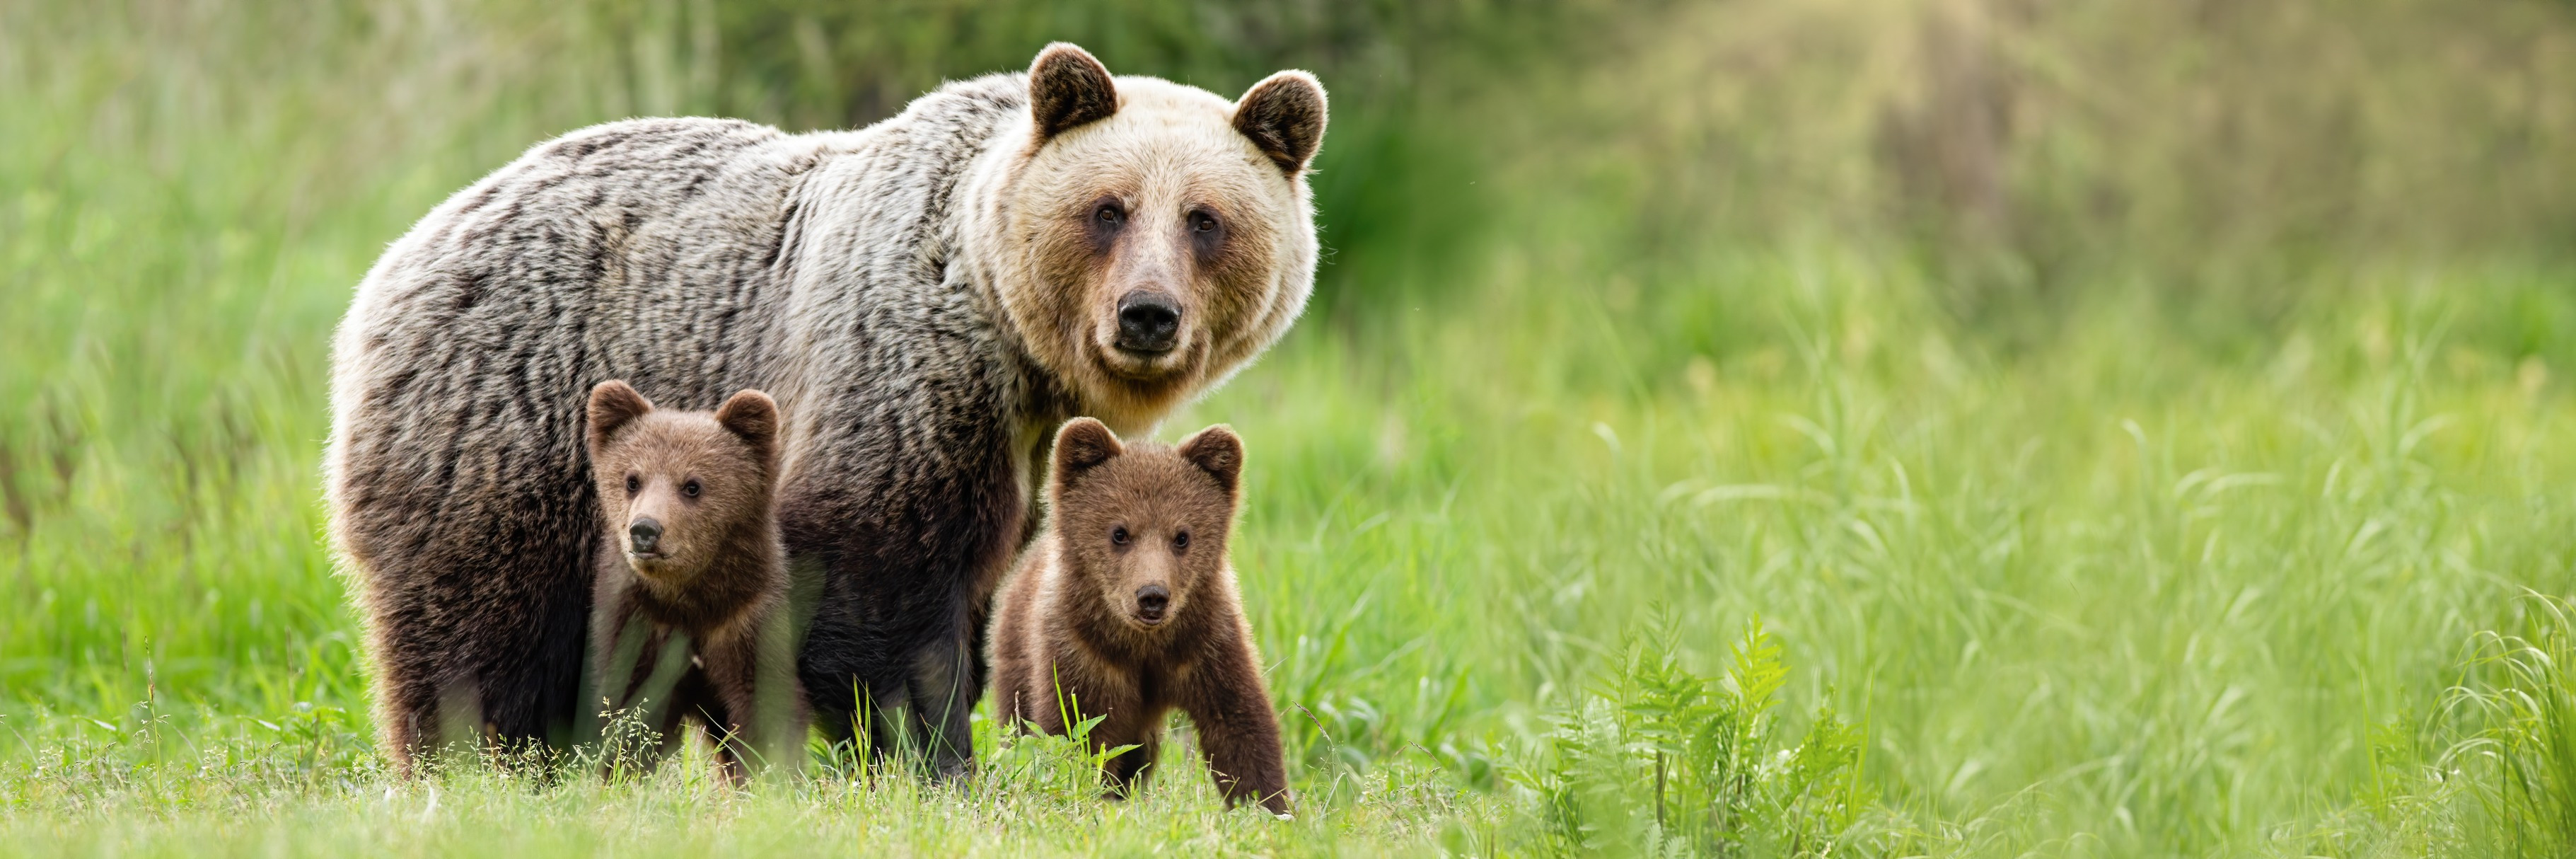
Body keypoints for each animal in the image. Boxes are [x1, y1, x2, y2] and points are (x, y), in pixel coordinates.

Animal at [579, 380, 804, 779]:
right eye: (632, 480)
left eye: (693, 485)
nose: (645, 530)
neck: (691, 602)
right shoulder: (639, 624)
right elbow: (630, 712)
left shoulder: (746, 622)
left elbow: (763, 708)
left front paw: (766, 775)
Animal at [990, 418, 1291, 815]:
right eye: (1120, 532)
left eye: (1182, 536)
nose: (1152, 596)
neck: (1144, 645)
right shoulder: (1082, 653)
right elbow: (1074, 730)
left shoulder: (1207, 645)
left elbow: (1240, 725)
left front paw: (1268, 806)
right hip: (1016, 653)